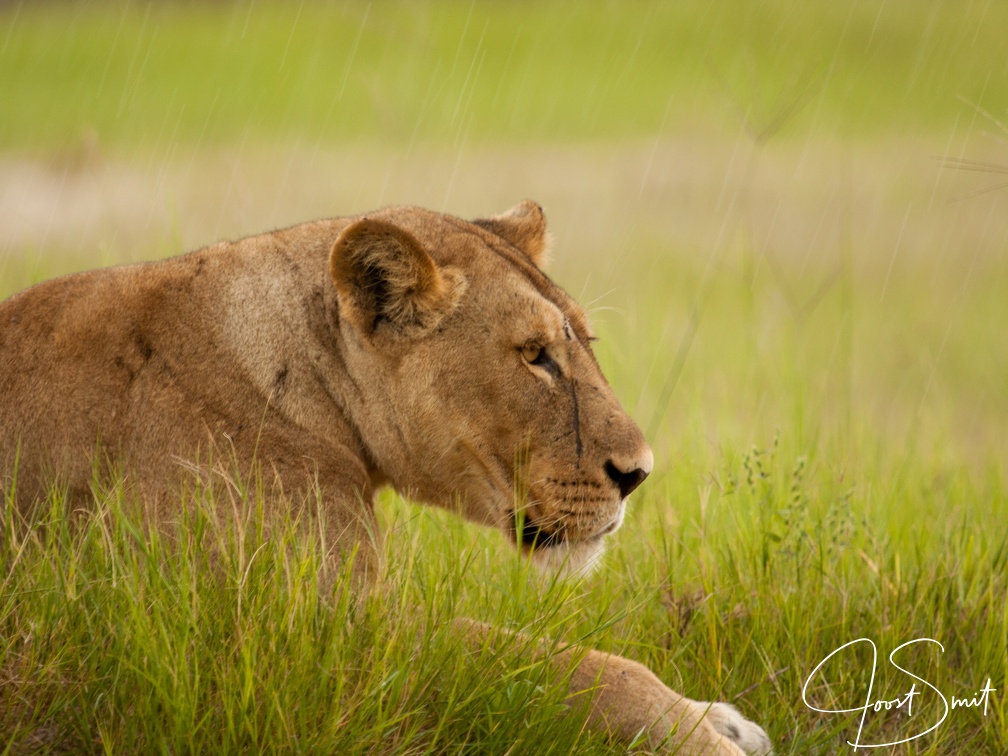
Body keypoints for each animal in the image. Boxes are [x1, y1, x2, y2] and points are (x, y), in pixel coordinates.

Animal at [0, 201, 770, 754]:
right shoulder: (320, 643)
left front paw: (718, 718)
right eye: (535, 355)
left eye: (584, 342)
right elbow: (554, 662)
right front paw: (699, 738)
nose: (639, 474)